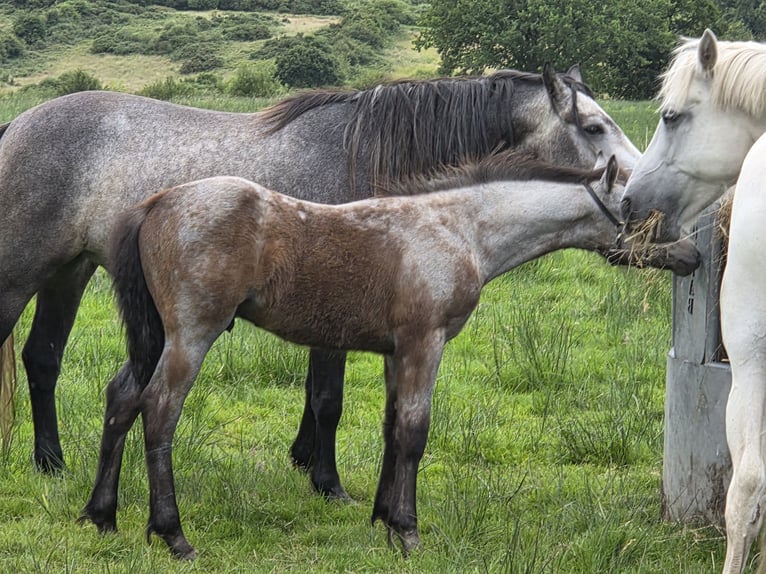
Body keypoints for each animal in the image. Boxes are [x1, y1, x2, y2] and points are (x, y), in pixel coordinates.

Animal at [0, 66, 643, 501]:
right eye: (593, 126)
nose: (640, 193)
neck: (367, 158)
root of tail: (18, 123)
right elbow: (328, 398)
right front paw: (328, 482)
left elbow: (315, 395)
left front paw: (302, 458)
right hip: (22, 274)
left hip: (71, 272)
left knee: (43, 358)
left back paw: (51, 463)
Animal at [78, 150, 699, 559]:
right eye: (646, 210)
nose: (693, 255)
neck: (460, 230)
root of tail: (157, 203)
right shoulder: (426, 342)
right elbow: (415, 431)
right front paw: (407, 530)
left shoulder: (395, 350)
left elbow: (391, 428)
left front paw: (381, 517)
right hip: (192, 335)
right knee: (159, 411)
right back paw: (172, 533)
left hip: (154, 336)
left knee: (122, 398)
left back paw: (101, 516)